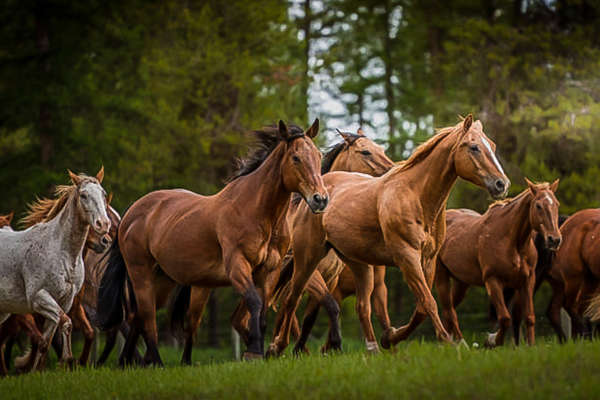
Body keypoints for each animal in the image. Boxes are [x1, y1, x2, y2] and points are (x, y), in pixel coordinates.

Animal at [0, 167, 109, 370]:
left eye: (103, 194)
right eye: (83, 195)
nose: (103, 225)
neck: (62, 252)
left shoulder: (64, 302)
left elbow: (44, 342)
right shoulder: (39, 298)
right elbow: (66, 323)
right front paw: (68, 359)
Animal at [97, 118, 328, 362]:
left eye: (318, 155)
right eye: (296, 158)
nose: (320, 199)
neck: (257, 212)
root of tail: (132, 213)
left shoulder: (269, 271)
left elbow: (263, 312)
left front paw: (258, 350)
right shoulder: (237, 266)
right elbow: (254, 303)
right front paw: (253, 352)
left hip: (162, 280)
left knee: (138, 317)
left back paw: (129, 362)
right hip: (140, 274)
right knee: (148, 318)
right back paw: (156, 363)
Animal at [268, 115, 510, 356]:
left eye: (492, 146)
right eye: (474, 147)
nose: (502, 184)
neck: (416, 195)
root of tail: (314, 196)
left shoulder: (428, 260)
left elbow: (420, 307)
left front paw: (391, 337)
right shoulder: (407, 257)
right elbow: (428, 302)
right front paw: (447, 342)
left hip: (358, 265)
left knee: (361, 306)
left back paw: (372, 348)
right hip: (308, 259)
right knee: (292, 299)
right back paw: (277, 346)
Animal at [434, 180, 560, 346]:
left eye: (556, 204)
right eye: (538, 206)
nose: (555, 240)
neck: (510, 241)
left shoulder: (527, 281)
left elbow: (529, 317)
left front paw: (530, 345)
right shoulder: (492, 281)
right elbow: (505, 318)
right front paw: (492, 341)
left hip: (461, 283)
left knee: (448, 311)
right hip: (441, 278)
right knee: (450, 312)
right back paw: (460, 345)